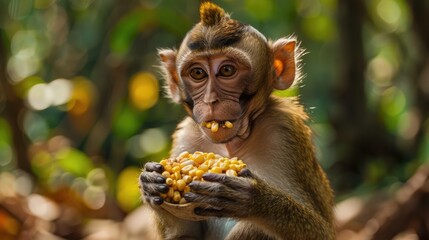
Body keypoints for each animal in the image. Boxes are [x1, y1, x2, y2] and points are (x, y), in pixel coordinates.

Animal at [138, 1, 334, 238]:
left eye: (227, 70)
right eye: (197, 73)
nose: (211, 100)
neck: (231, 146)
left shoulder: (285, 132)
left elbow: (323, 232)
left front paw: (257, 199)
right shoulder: (186, 138)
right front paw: (150, 184)